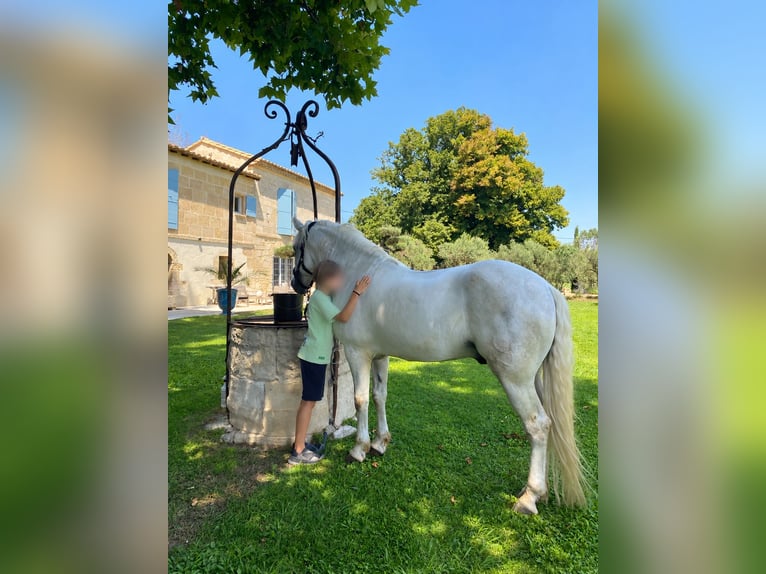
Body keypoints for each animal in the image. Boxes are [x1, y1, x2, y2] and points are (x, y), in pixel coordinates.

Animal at [290, 218, 587, 514]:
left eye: (296, 247)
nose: (295, 284)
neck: (360, 274)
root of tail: (545, 288)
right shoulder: (380, 356)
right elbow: (379, 396)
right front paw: (379, 444)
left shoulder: (357, 353)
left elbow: (360, 399)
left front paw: (358, 450)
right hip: (533, 379)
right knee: (549, 423)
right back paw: (538, 491)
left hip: (516, 380)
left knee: (537, 425)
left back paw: (529, 497)